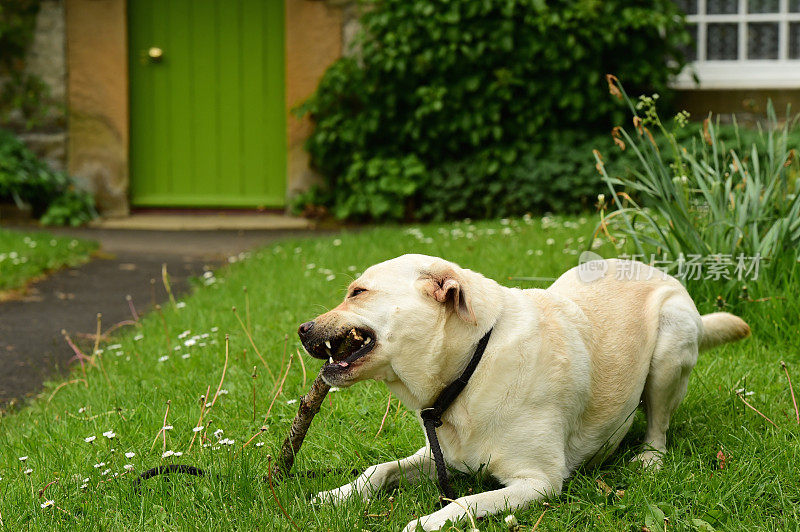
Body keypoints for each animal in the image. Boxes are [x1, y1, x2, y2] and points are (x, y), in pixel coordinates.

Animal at [298, 256, 752, 528]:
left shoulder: (539, 482)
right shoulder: (444, 456)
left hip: (671, 342)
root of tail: (657, 270)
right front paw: (335, 495)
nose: (302, 329)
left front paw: (424, 522)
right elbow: (378, 470)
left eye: (357, 292)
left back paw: (649, 458)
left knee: (658, 424)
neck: (473, 365)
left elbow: (465, 503)